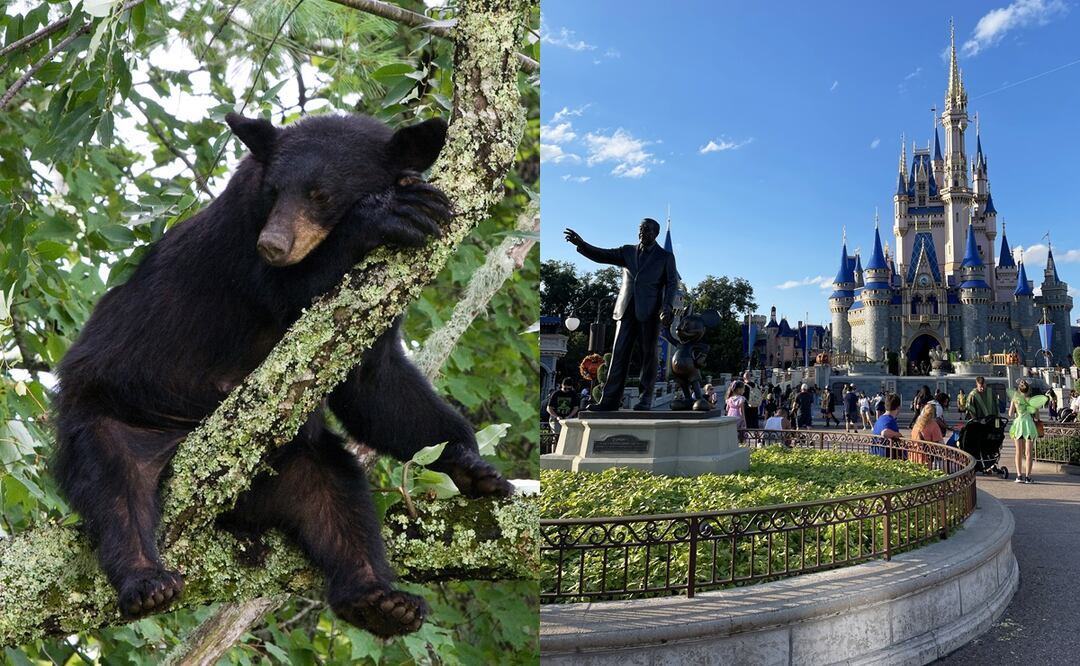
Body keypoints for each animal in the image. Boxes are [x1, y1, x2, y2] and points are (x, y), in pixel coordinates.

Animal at [52, 111, 513, 638]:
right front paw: (387, 213)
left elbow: (376, 387)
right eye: (275, 191)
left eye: (320, 194)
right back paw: (147, 580)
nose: (273, 244)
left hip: (293, 462)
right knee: (114, 485)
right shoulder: (240, 236)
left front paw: (472, 465)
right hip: (111, 412)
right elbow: (292, 293)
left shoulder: (386, 294)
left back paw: (379, 600)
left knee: (339, 497)